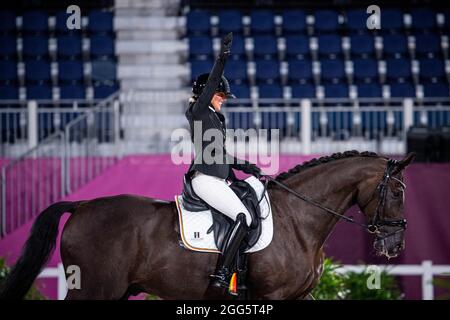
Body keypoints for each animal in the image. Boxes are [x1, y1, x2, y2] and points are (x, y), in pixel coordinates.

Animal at [0, 151, 414, 300]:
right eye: (396, 191)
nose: (394, 245)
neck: (298, 219)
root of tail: (82, 204)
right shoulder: (275, 296)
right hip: (95, 290)